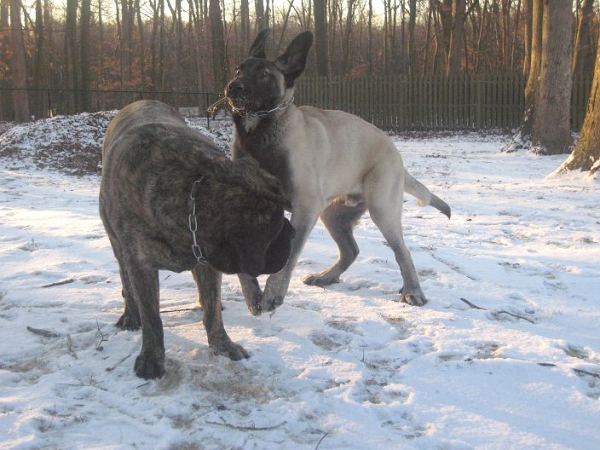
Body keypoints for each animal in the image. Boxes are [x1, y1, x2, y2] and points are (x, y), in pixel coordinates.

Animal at [99, 100, 292, 378]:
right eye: (273, 232)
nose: (292, 233)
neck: (193, 190)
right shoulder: (141, 263)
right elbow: (152, 317)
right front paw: (152, 359)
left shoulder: (206, 258)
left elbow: (211, 309)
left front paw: (222, 344)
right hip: (118, 245)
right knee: (125, 278)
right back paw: (130, 315)